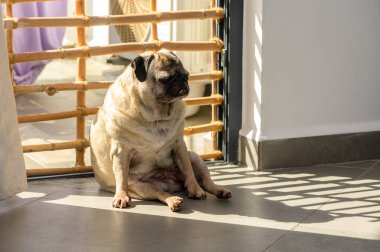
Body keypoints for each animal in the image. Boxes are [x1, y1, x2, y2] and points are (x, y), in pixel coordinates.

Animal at [90, 49, 232, 211]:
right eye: (165, 79)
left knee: (206, 182)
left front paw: (195, 189)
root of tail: (174, 185)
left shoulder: (179, 146)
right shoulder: (121, 152)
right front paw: (121, 196)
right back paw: (174, 200)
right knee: (161, 194)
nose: (181, 81)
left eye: (186, 75)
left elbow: (188, 171)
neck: (156, 116)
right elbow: (121, 178)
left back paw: (218, 191)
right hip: (143, 188)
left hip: (195, 157)